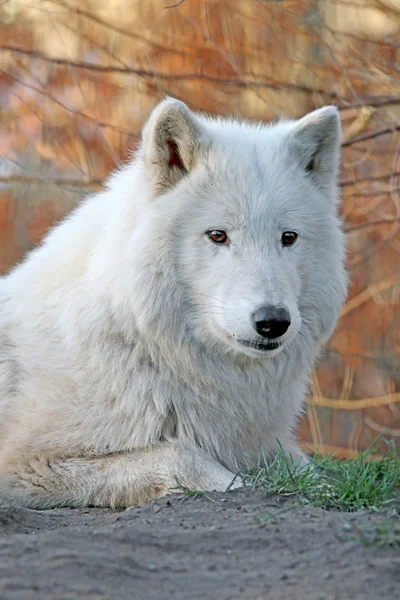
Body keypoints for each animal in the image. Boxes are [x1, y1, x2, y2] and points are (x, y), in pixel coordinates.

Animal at [0, 97, 346, 506]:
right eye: (218, 235)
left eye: (288, 237)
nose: (273, 321)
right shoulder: (27, 466)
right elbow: (179, 454)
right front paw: (240, 485)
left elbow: (310, 471)